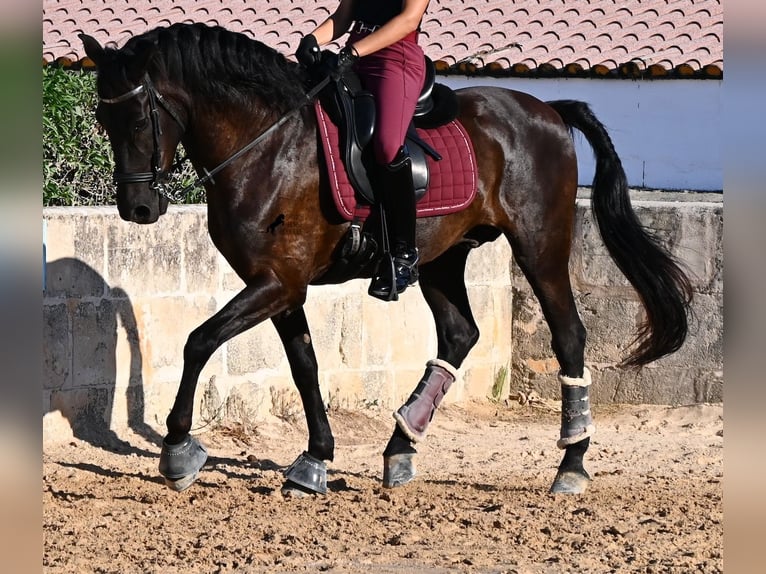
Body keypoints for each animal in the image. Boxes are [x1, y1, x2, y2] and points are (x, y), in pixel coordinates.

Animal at [79, 23, 692, 496]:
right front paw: (315, 460)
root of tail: (546, 109)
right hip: (440, 258)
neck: (266, 144)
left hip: (540, 248)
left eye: (139, 119)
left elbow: (199, 341)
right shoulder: (282, 285)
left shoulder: (276, 284)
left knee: (568, 336)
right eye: (104, 121)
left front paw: (178, 451)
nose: (137, 208)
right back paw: (400, 448)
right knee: (460, 334)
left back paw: (571, 464)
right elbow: (304, 366)